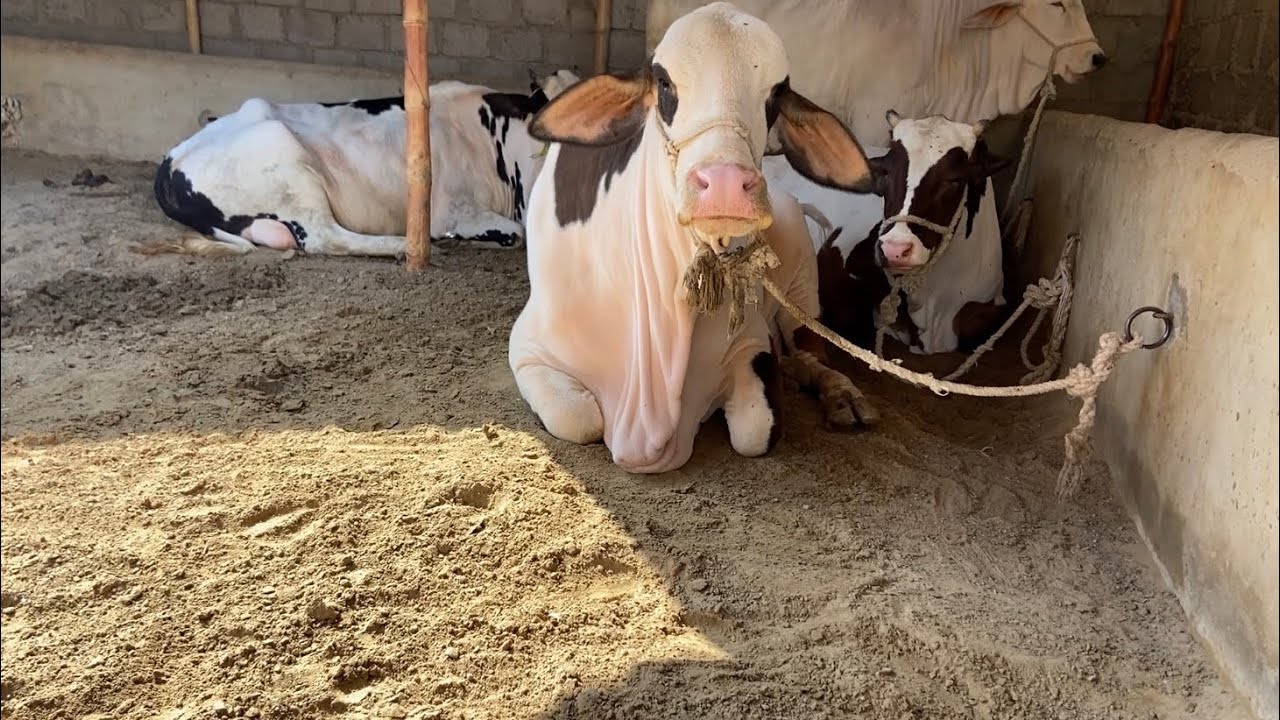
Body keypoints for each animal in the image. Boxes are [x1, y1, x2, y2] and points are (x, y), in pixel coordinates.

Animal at [152, 70, 580, 257]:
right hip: (287, 163)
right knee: (325, 238)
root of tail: (172, 159)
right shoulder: (454, 210)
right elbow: (514, 233)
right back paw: (405, 245)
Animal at [509, 2, 881, 475]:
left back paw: (841, 395)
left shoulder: (751, 343)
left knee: (811, 348)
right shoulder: (529, 346)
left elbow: (755, 430)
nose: (724, 185)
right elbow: (579, 418)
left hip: (800, 283)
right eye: (664, 82)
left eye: (776, 95)